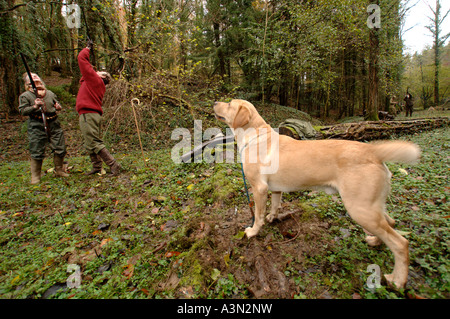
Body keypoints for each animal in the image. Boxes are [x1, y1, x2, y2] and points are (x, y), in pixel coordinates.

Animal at [213, 99, 420, 290]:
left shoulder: (259, 188)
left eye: (229, 104)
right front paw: (272, 217)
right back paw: (376, 242)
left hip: (360, 210)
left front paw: (253, 231)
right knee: (391, 223)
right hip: (372, 207)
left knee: (401, 243)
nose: (215, 102)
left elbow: (258, 215)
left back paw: (397, 279)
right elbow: (275, 205)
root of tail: (373, 151)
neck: (254, 136)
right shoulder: (275, 189)